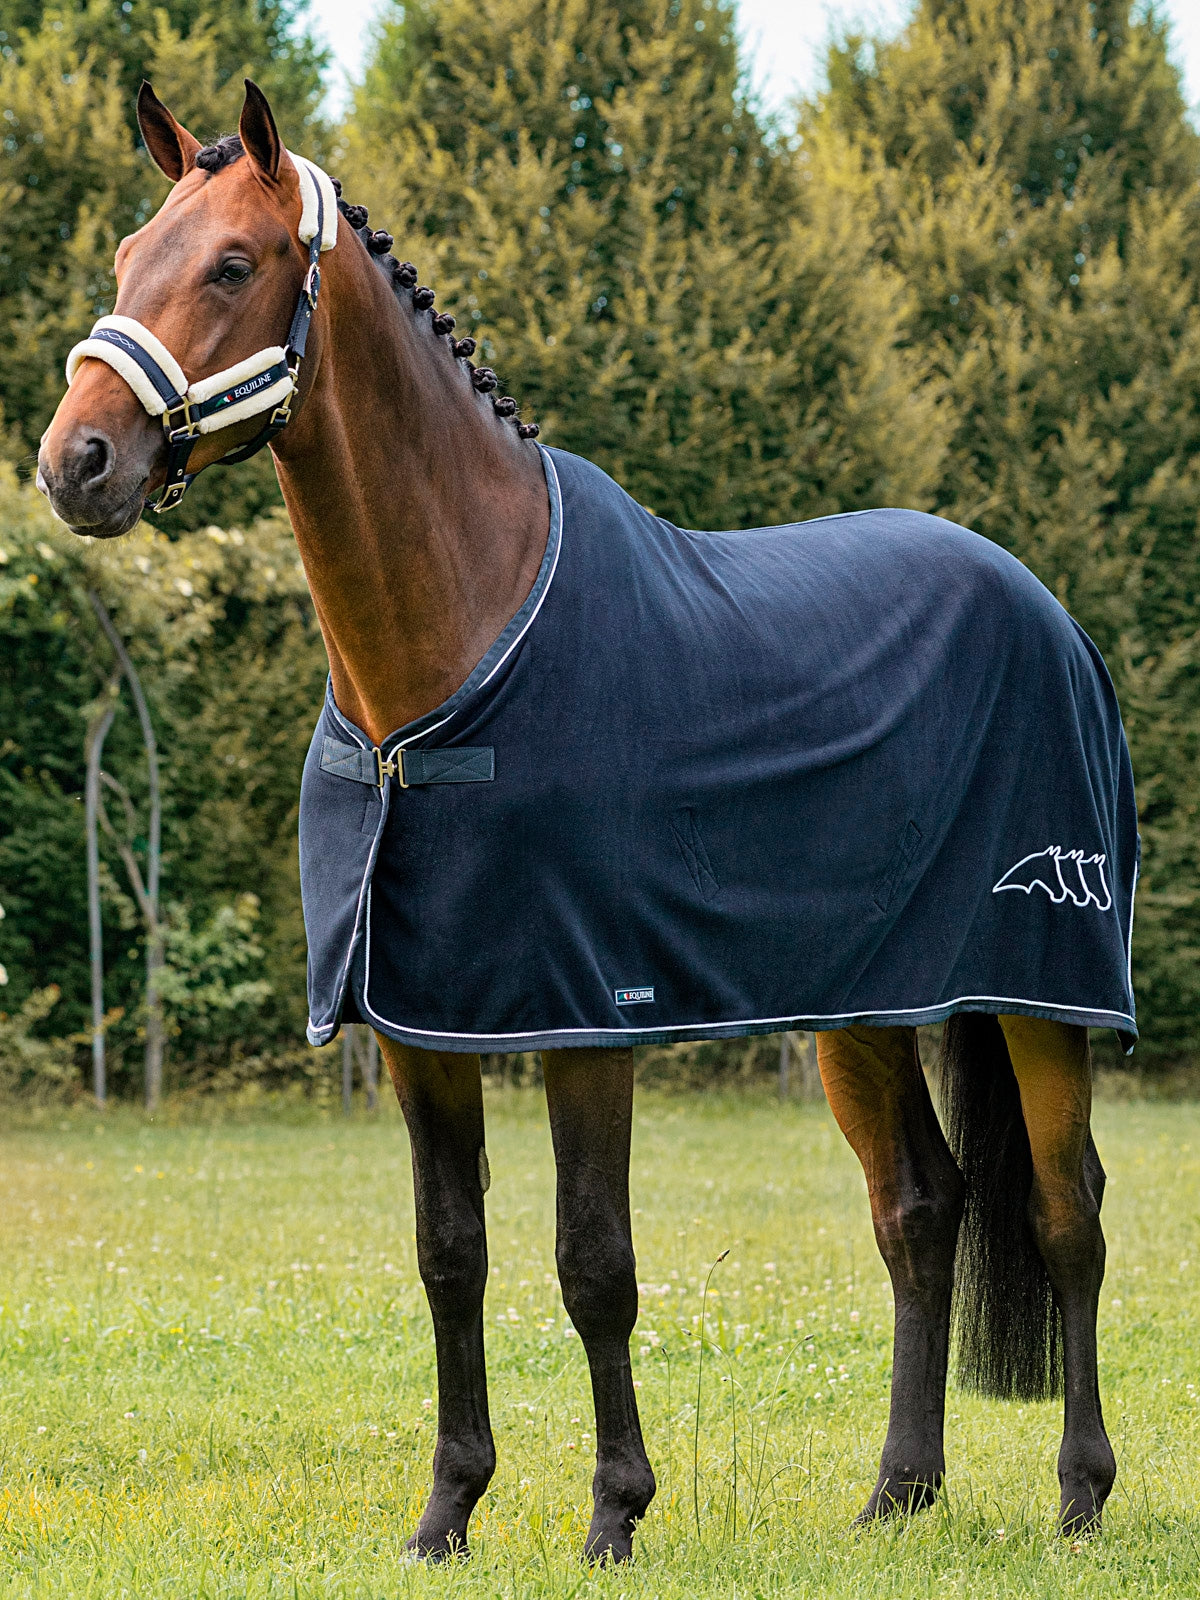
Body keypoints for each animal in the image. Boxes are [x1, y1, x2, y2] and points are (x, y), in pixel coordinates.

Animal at [39, 80, 1134, 1564]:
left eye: (232, 264)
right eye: (123, 261)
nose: (75, 462)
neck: (452, 653)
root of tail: (1047, 611)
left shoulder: (584, 1018)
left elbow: (592, 1262)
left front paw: (614, 1511)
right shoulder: (419, 1031)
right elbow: (451, 1254)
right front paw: (446, 1512)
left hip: (1038, 996)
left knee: (1067, 1216)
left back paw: (1080, 1493)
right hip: (859, 1009)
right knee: (920, 1209)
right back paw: (898, 1494)